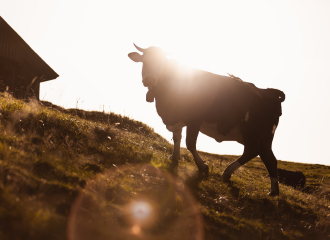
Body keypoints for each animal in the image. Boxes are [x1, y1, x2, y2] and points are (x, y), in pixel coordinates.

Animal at [127, 44, 284, 196]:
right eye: (144, 61)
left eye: (162, 63)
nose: (149, 79)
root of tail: (269, 92)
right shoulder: (176, 119)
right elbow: (177, 138)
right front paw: (175, 157)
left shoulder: (195, 119)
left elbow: (190, 143)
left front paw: (202, 166)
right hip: (264, 137)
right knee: (268, 158)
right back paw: (273, 191)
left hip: (252, 131)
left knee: (253, 151)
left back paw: (228, 172)